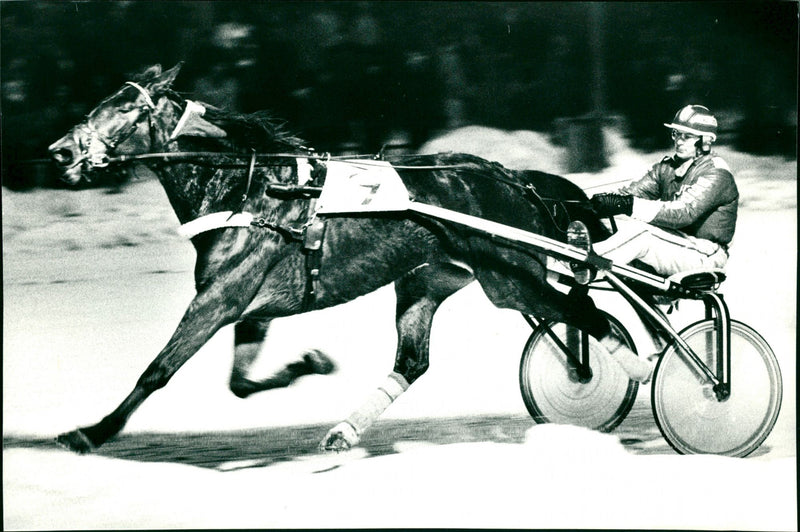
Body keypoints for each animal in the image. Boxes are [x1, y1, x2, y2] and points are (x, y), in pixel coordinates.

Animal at [48, 62, 612, 454]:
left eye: (125, 107)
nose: (61, 150)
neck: (248, 187)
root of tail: (512, 177)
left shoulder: (219, 299)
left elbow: (158, 370)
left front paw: (91, 433)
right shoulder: (251, 307)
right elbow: (240, 384)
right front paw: (309, 362)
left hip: (509, 280)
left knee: (589, 316)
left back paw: (611, 374)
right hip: (428, 280)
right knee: (413, 360)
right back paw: (343, 431)